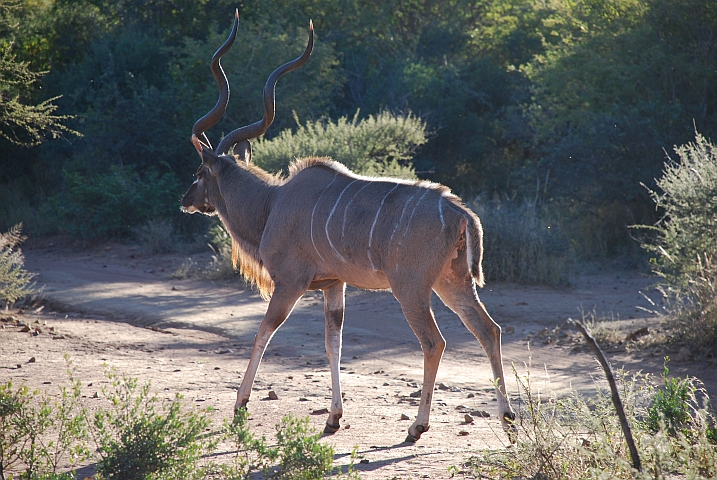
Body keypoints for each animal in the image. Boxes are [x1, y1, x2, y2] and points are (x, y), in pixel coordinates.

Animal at [179, 12, 516, 442]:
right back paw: (508, 419)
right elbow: (332, 344)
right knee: (489, 330)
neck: (272, 205)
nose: (186, 199)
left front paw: (240, 405)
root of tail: (459, 212)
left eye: (199, 171)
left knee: (433, 342)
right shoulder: (333, 286)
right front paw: (333, 417)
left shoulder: (290, 283)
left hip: (411, 288)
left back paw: (417, 427)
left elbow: (263, 333)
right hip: (452, 282)